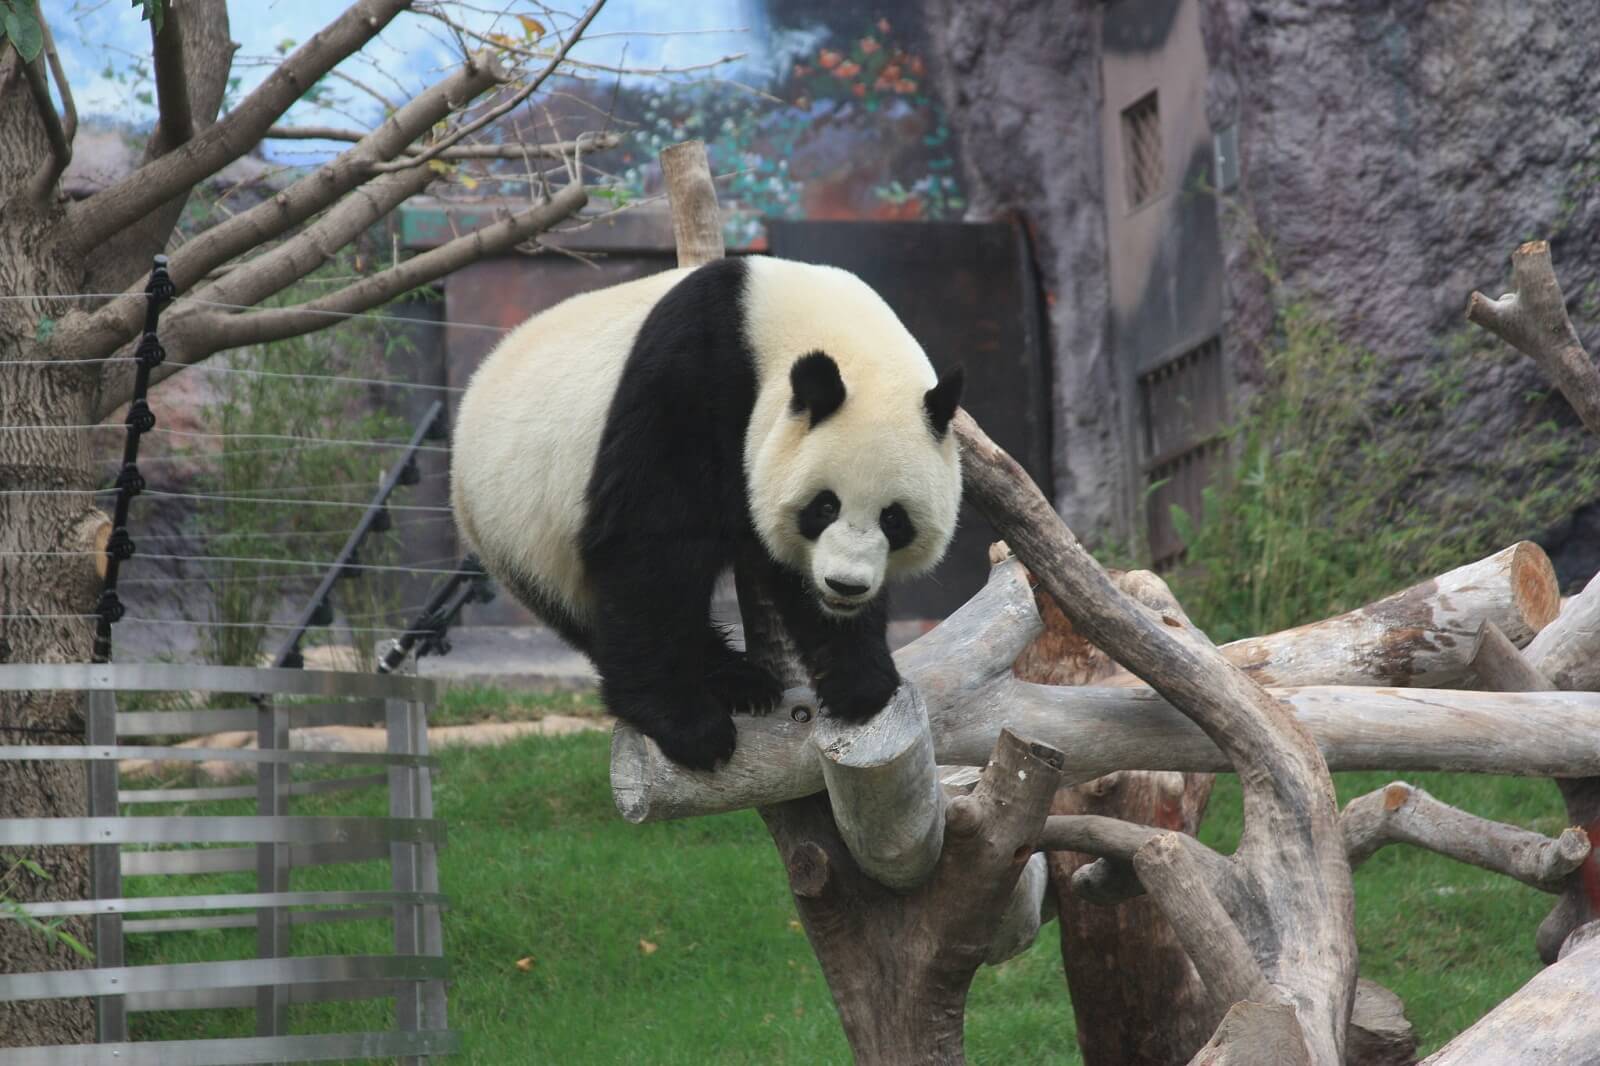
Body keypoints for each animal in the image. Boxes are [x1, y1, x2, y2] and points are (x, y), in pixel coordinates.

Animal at [451, 256, 964, 771]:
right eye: (824, 506)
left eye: (894, 519)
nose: (845, 586)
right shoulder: (691, 377)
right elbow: (650, 543)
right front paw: (689, 728)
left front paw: (861, 681)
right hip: (523, 528)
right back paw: (725, 684)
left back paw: (739, 680)